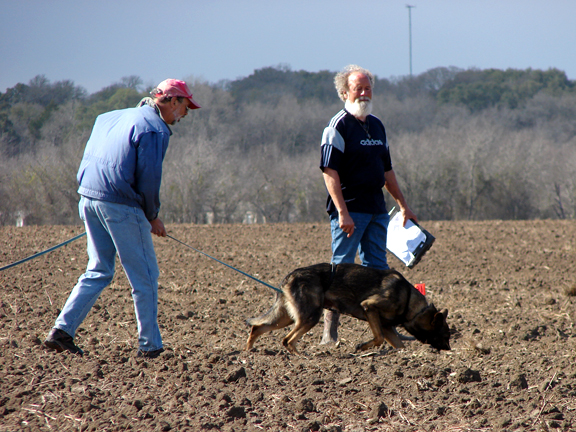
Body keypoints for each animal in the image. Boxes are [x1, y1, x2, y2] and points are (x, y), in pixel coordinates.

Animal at [245, 264, 452, 354]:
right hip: (311, 316)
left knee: (258, 327)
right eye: (445, 336)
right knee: (287, 340)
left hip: (287, 317)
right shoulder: (370, 308)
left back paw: (249, 351)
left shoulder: (385, 326)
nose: (449, 350)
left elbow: (398, 344)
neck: (410, 302)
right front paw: (361, 347)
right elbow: (378, 339)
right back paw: (303, 358)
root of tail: (289, 276)